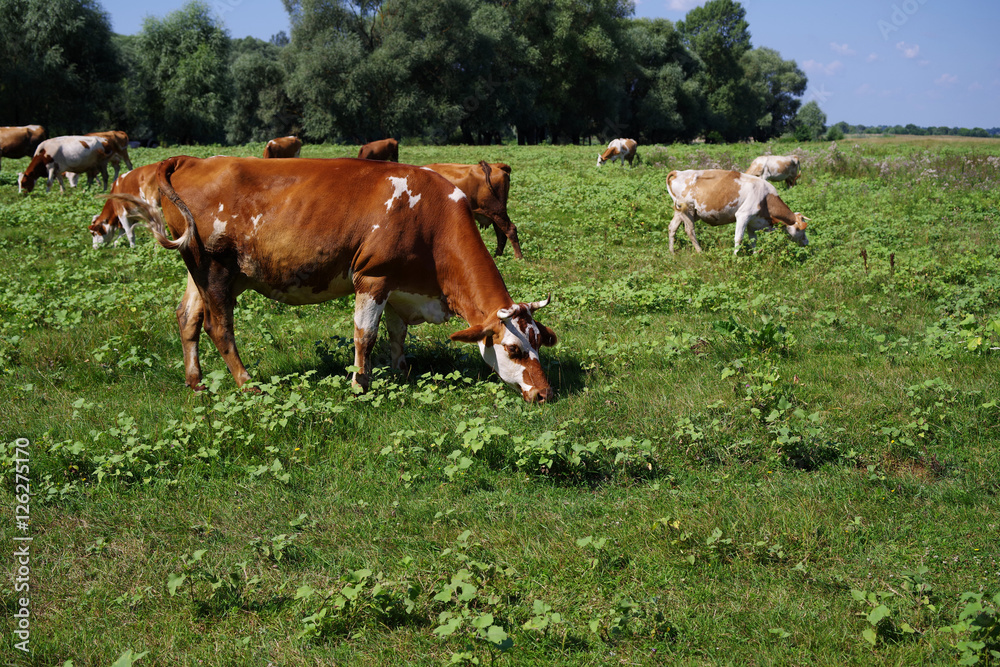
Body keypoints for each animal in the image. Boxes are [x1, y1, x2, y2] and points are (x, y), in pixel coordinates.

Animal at [115, 157, 564, 402]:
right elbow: (365, 336)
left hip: (198, 268)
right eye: (513, 349)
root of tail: (192, 159)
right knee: (218, 326)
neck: (430, 217)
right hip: (216, 270)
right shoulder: (373, 277)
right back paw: (247, 384)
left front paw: (401, 371)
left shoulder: (400, 285)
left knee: (187, 318)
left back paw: (195, 382)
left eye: (539, 341)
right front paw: (360, 384)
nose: (545, 393)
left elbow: (397, 335)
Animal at [664, 171, 812, 254]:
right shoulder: (743, 215)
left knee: (672, 227)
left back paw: (672, 252)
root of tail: (678, 172)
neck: (765, 197)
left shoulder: (753, 221)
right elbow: (739, 238)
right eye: (801, 229)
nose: (807, 242)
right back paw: (700, 252)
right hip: (688, 209)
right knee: (690, 230)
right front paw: (735, 258)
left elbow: (753, 240)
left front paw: (755, 255)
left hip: (681, 211)